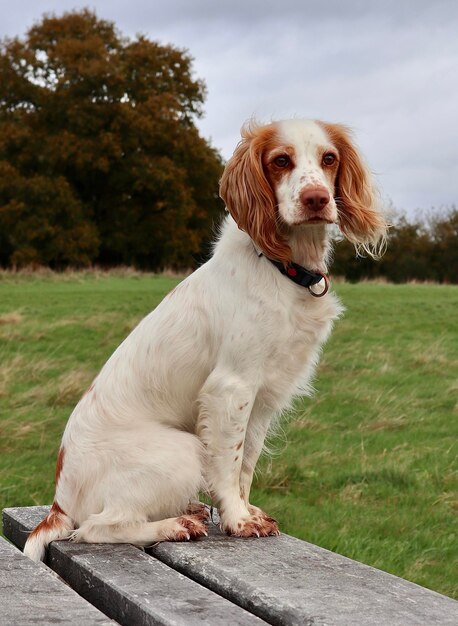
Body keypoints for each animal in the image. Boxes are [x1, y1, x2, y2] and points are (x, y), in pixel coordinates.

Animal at [23, 118, 384, 560]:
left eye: (329, 158)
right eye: (281, 160)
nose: (316, 198)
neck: (282, 266)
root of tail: (59, 501)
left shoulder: (262, 397)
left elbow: (246, 462)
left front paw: (245, 509)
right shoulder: (232, 387)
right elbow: (228, 462)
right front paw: (238, 519)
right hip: (180, 450)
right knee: (96, 528)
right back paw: (175, 525)